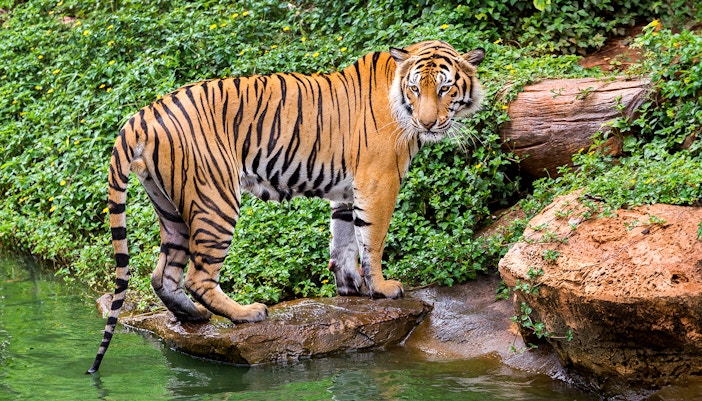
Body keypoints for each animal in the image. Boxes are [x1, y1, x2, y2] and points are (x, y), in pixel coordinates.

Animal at [87, 40, 484, 373]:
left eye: (445, 88)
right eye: (416, 89)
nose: (427, 122)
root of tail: (142, 114)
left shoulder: (347, 191)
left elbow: (343, 240)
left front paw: (349, 287)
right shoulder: (378, 182)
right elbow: (372, 239)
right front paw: (382, 288)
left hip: (169, 205)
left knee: (163, 274)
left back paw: (194, 316)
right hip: (216, 199)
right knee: (198, 276)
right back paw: (246, 313)